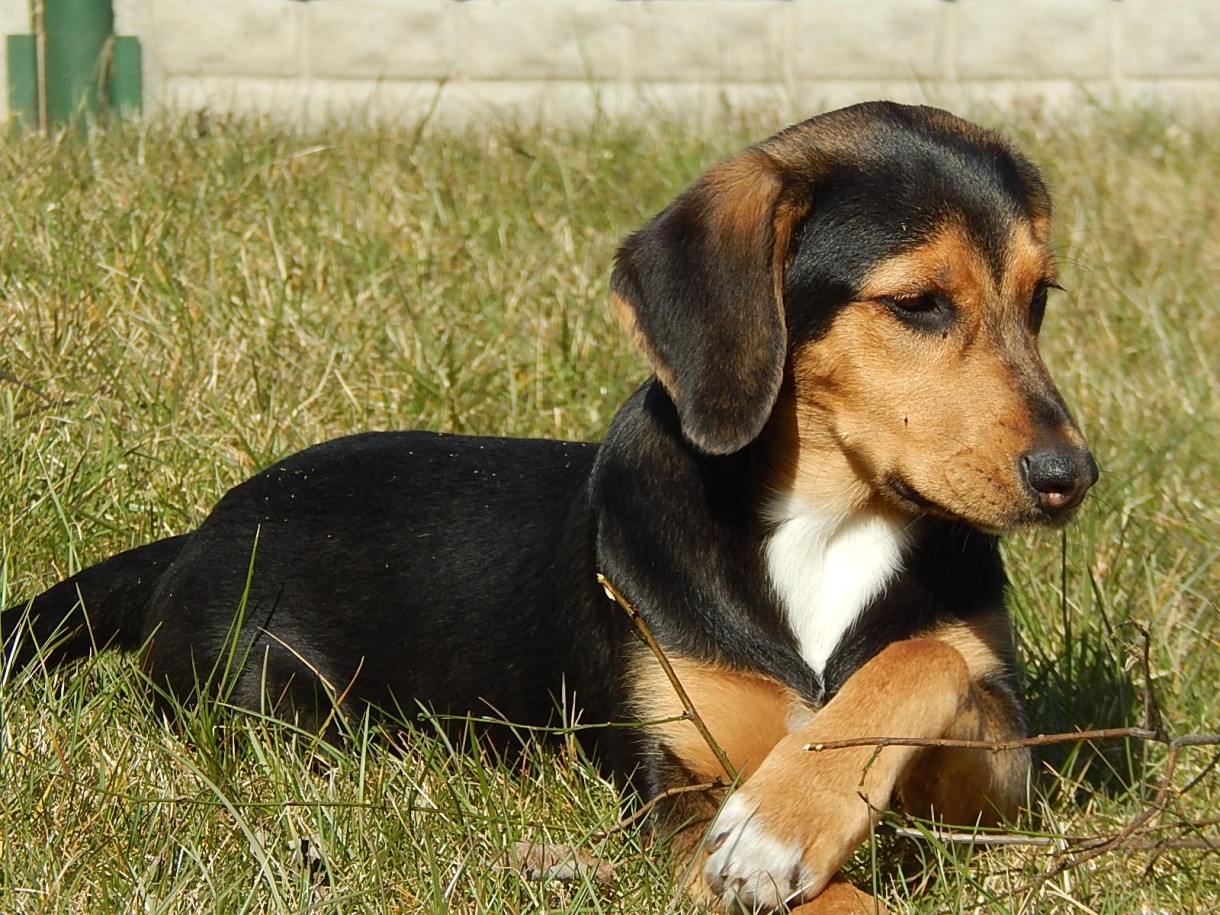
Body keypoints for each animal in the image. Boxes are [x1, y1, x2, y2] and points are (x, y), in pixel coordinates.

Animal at [0, 103, 1102, 912]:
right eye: (917, 304)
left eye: (1040, 299)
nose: (1071, 476)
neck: (827, 523)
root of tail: (204, 529)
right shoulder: (675, 800)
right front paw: (781, 838)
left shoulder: (1001, 781)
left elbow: (922, 662)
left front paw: (791, 811)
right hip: (264, 694)